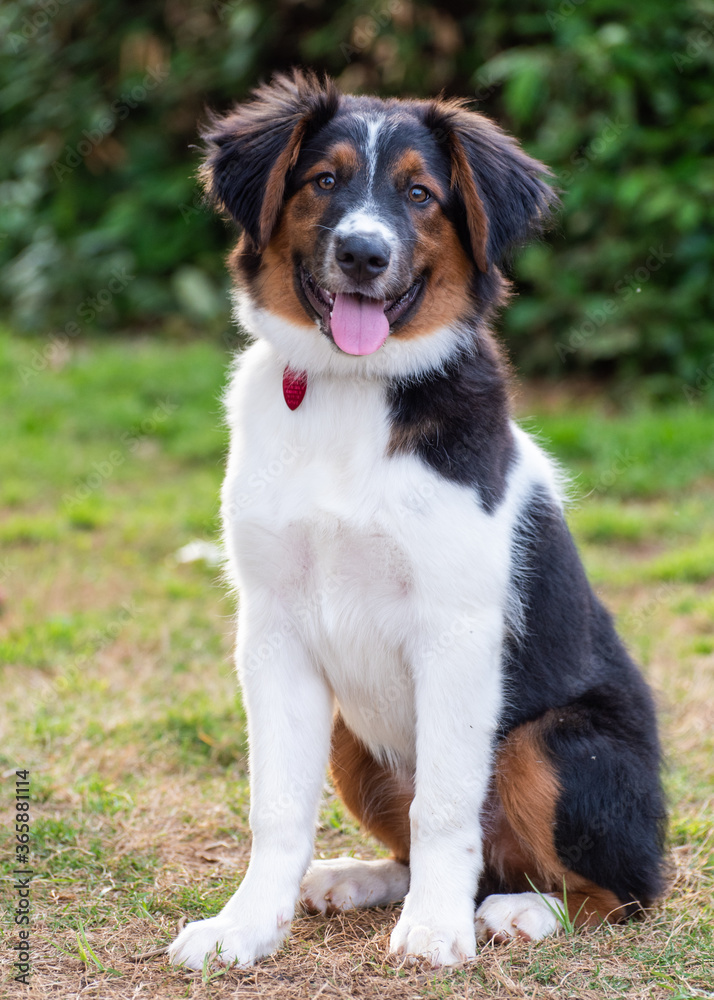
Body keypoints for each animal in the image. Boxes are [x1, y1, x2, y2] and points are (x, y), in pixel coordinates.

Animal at [165, 68, 660, 968]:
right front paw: (244, 926)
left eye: (422, 195)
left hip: (554, 742)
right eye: (323, 181)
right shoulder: (274, 629)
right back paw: (357, 879)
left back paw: (518, 912)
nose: (364, 254)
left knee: (622, 890)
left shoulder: (456, 632)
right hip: (352, 736)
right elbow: (276, 804)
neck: (350, 391)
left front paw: (434, 930)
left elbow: (445, 806)